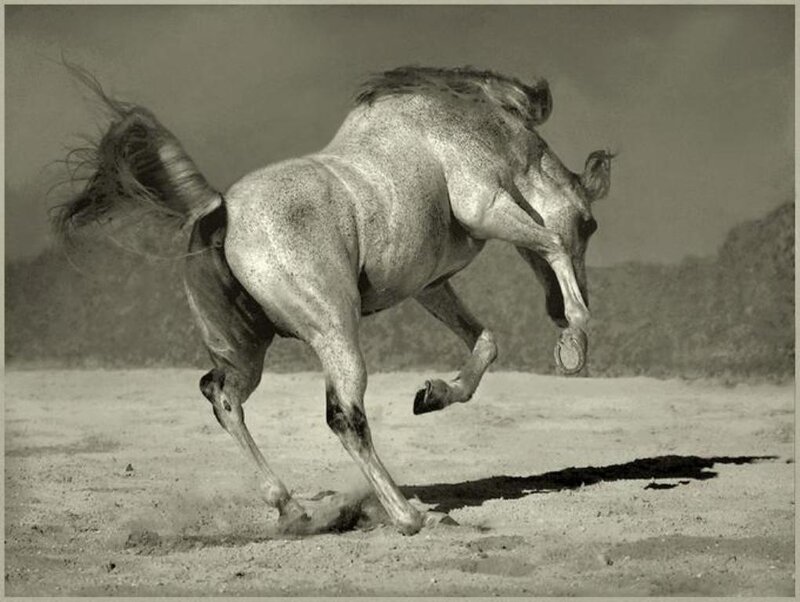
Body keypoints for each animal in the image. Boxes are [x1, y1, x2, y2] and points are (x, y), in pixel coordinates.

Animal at [52, 65, 612, 535]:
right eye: (589, 224)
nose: (555, 309)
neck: (477, 128)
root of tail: (218, 211)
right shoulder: (486, 208)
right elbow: (551, 243)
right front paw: (574, 340)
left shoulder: (429, 285)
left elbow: (486, 342)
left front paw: (433, 394)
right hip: (334, 333)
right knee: (344, 416)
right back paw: (408, 516)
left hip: (245, 351)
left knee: (222, 396)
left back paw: (292, 508)